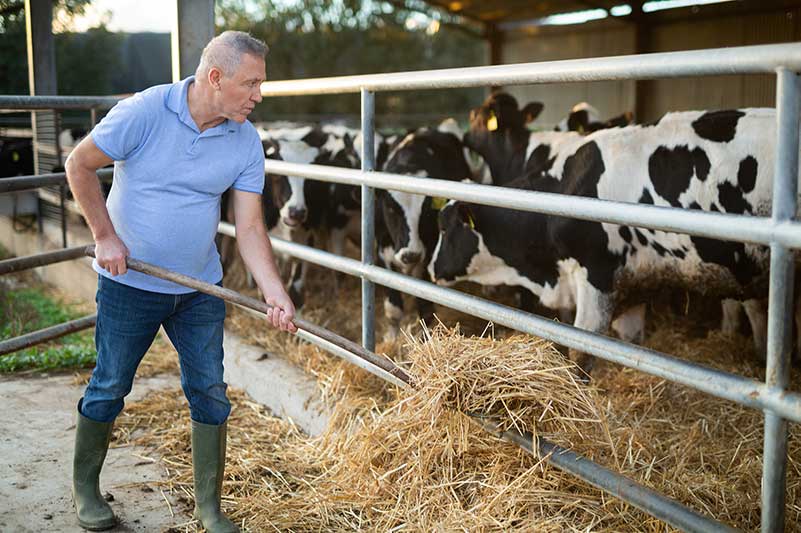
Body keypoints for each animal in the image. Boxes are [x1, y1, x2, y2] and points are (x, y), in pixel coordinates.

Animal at [432, 97, 788, 372]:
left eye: (445, 228)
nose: (433, 269)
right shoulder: (636, 283)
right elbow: (631, 343)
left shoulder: (596, 276)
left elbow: (581, 352)